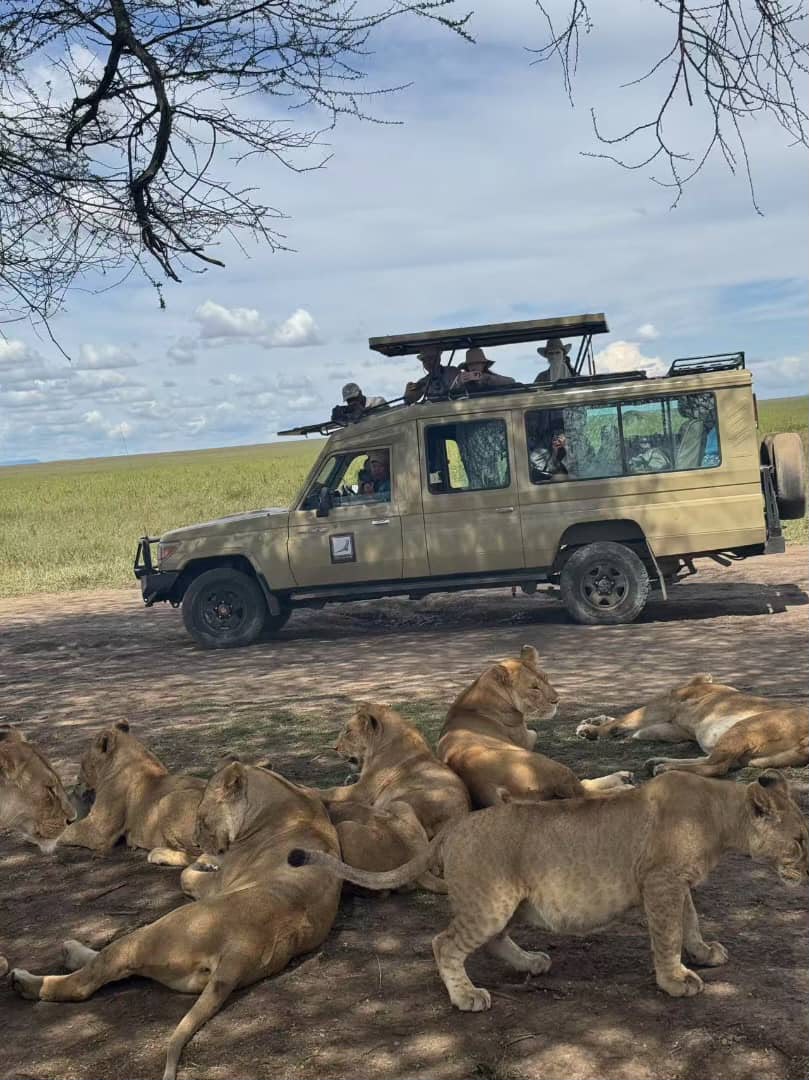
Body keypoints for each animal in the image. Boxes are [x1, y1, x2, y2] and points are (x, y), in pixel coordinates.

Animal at [11, 761, 341, 1080]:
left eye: (202, 818)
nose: (196, 839)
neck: (286, 798)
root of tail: (243, 949)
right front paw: (191, 857)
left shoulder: (217, 881)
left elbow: (186, 875)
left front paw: (196, 860)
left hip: (154, 931)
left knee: (87, 980)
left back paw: (29, 980)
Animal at [58, 721, 206, 866]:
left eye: (82, 763)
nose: (77, 779)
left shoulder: (99, 830)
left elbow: (68, 831)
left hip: (168, 800)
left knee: (199, 857)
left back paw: (158, 854)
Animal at [290, 770, 808, 1013]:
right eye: (801, 839)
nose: (808, 864)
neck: (720, 815)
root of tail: (454, 827)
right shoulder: (660, 881)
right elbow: (667, 935)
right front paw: (676, 979)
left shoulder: (675, 882)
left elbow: (692, 920)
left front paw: (702, 953)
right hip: (492, 900)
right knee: (444, 943)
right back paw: (467, 996)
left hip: (512, 903)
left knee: (492, 940)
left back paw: (530, 963)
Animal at [437, 645, 632, 806]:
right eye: (534, 688)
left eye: (546, 678)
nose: (556, 700)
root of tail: (484, 785)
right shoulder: (527, 737)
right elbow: (534, 732)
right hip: (548, 765)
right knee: (583, 792)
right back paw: (622, 784)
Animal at [575, 674, 809, 777]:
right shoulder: (673, 727)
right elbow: (628, 725)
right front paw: (594, 721)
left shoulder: (663, 706)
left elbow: (623, 719)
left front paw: (592, 730)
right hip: (748, 754)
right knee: (713, 761)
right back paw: (657, 762)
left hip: (744, 728)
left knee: (715, 766)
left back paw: (665, 768)